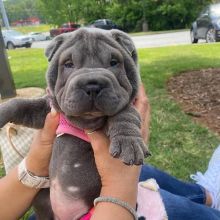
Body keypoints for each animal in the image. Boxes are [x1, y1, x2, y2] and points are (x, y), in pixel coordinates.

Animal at [0, 28, 150, 219]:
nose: (92, 85)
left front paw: (128, 141)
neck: (85, 120)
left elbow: (124, 113)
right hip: (40, 197)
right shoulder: (46, 109)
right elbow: (20, 105)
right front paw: (1, 112)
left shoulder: (126, 103)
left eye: (114, 62)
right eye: (68, 64)